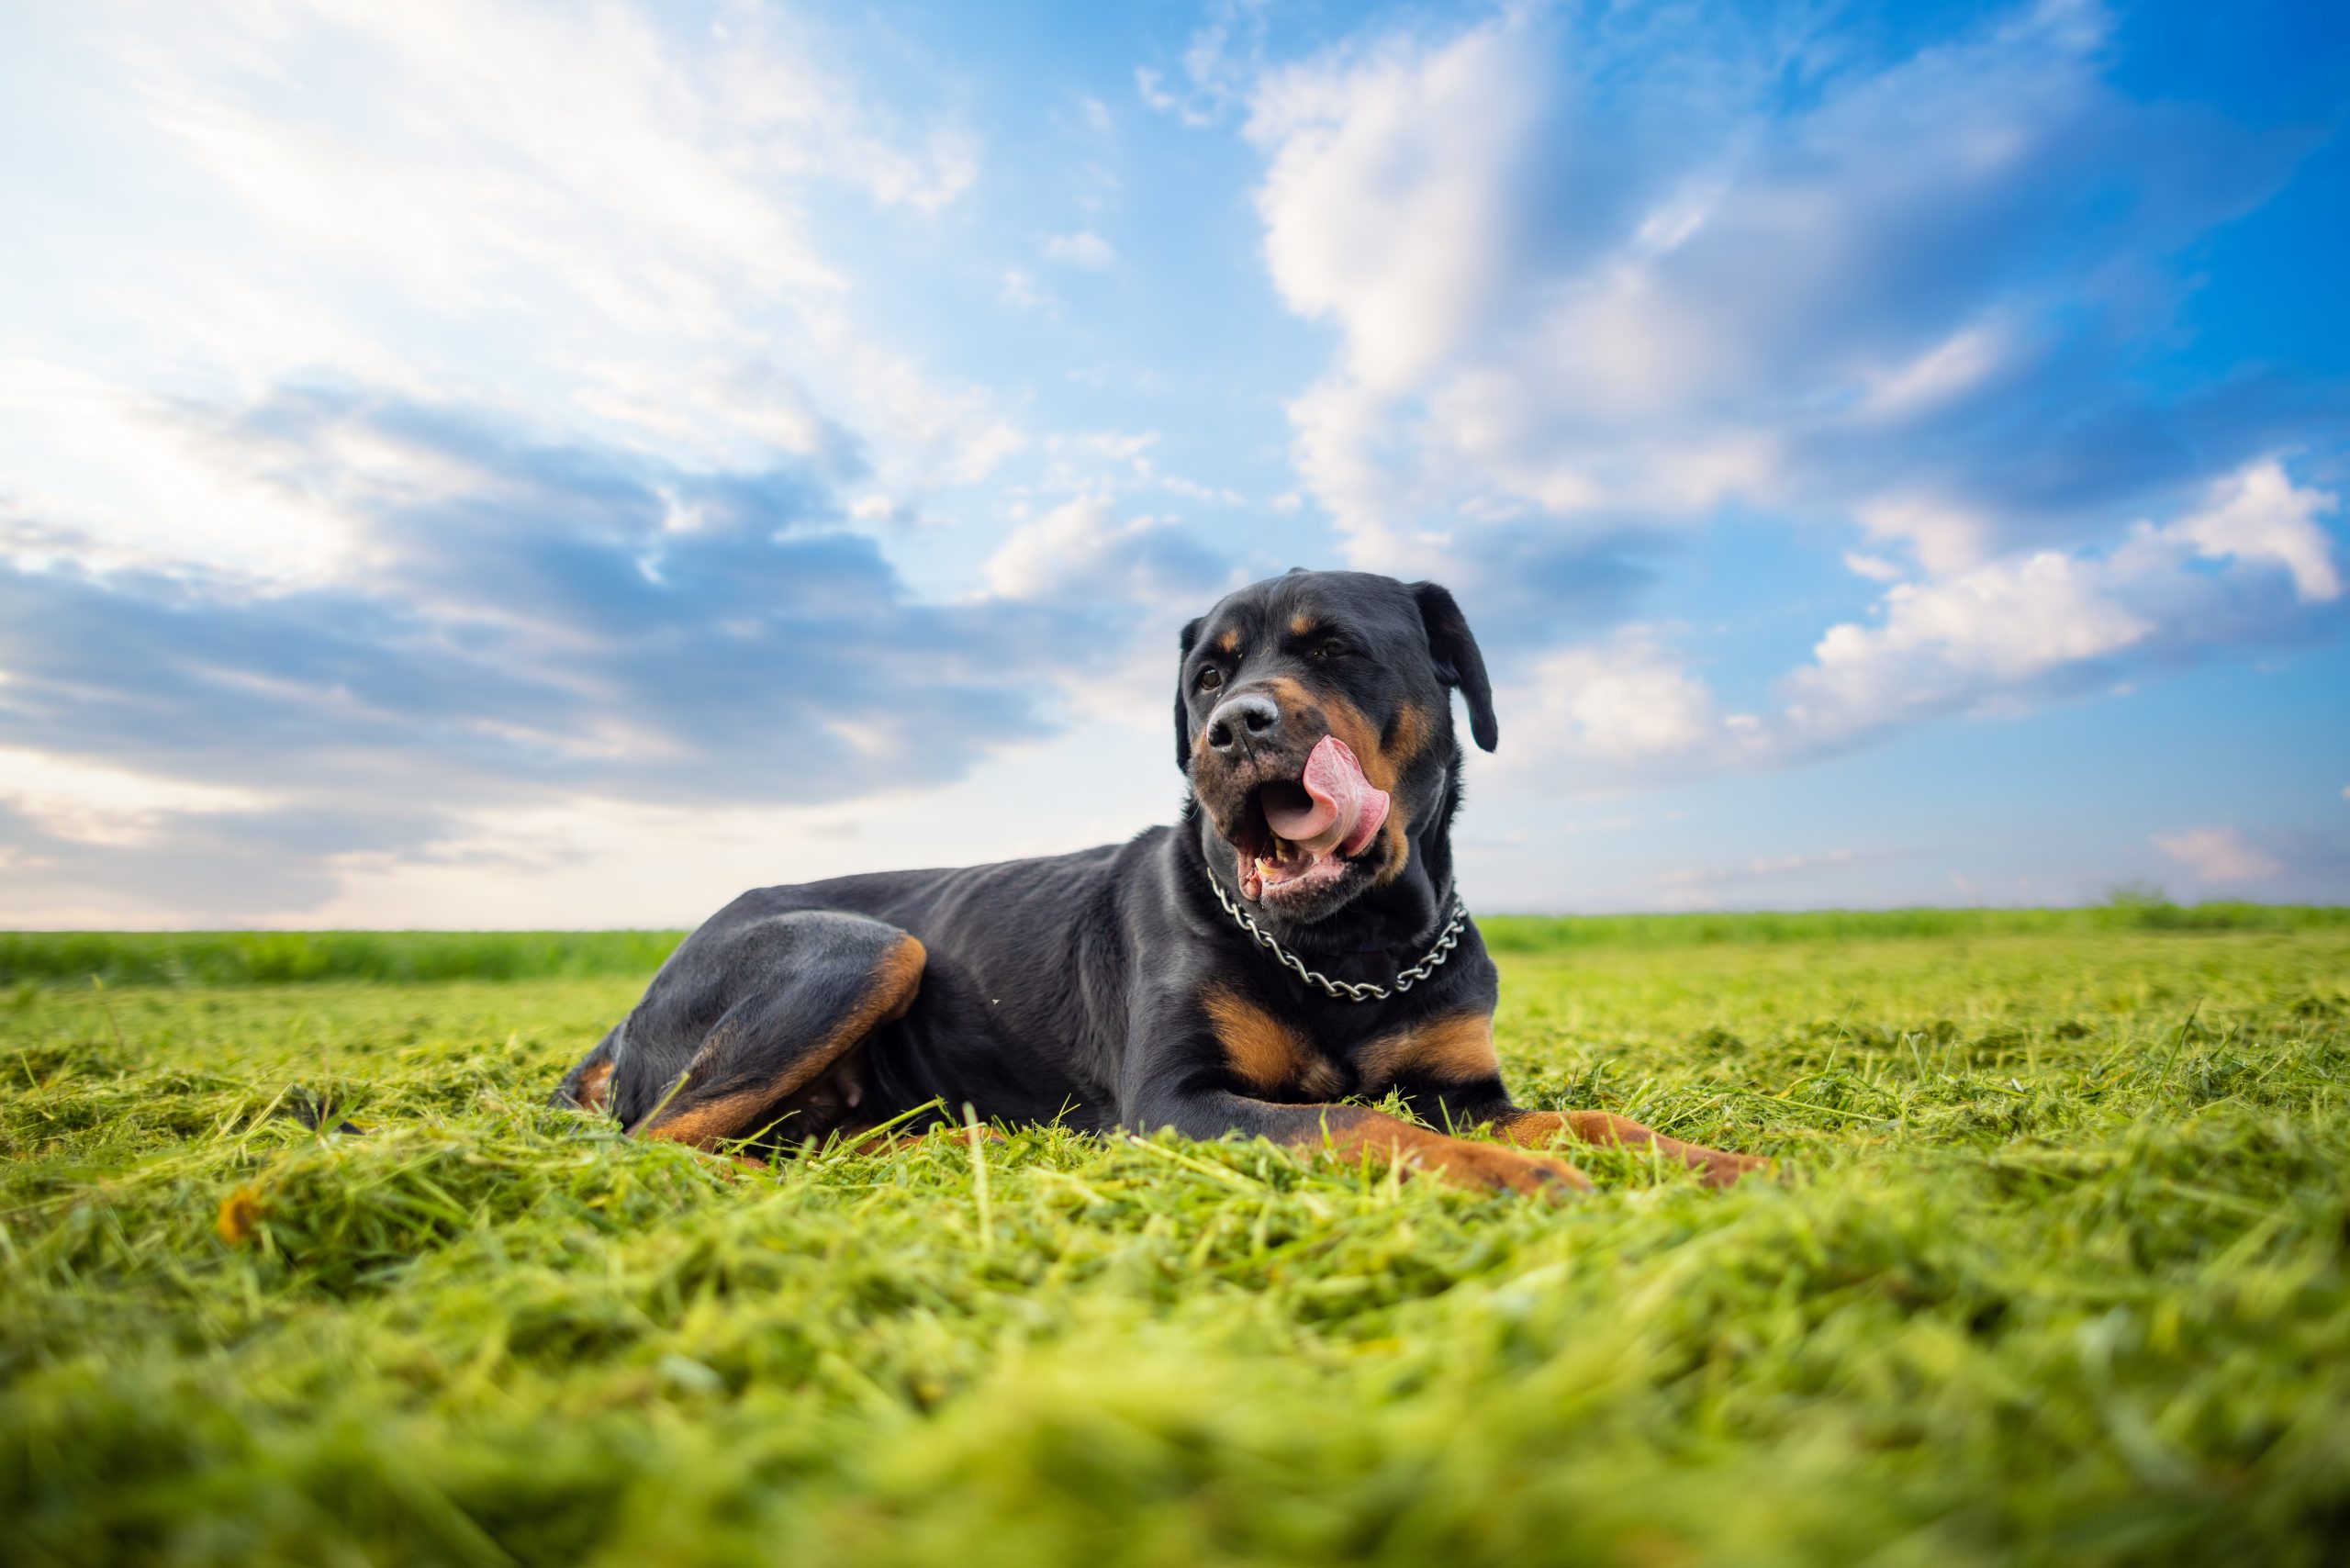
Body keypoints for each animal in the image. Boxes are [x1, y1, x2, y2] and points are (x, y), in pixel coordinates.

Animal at [554, 571, 1767, 1193]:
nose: (1234, 727)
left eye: (1336, 650)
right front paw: (1512, 1180)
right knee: (660, 1143)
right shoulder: (1178, 1101)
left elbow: (1587, 1117)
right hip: (858, 945)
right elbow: (1361, 1124)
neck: (1355, 946)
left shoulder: (1463, 1081)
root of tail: (634, 1001)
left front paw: (1717, 1160)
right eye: (1208, 676)